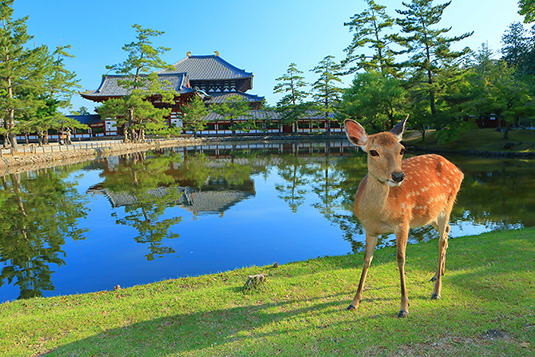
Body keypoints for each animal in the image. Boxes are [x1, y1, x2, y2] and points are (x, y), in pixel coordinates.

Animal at [344, 116, 464, 318]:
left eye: (402, 150)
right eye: (373, 152)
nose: (398, 176)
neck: (379, 214)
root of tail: (459, 170)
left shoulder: (403, 221)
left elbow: (400, 258)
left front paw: (404, 307)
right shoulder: (369, 228)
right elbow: (367, 259)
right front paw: (354, 302)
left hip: (447, 204)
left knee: (441, 240)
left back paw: (436, 291)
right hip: (430, 214)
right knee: (447, 232)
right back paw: (438, 274)